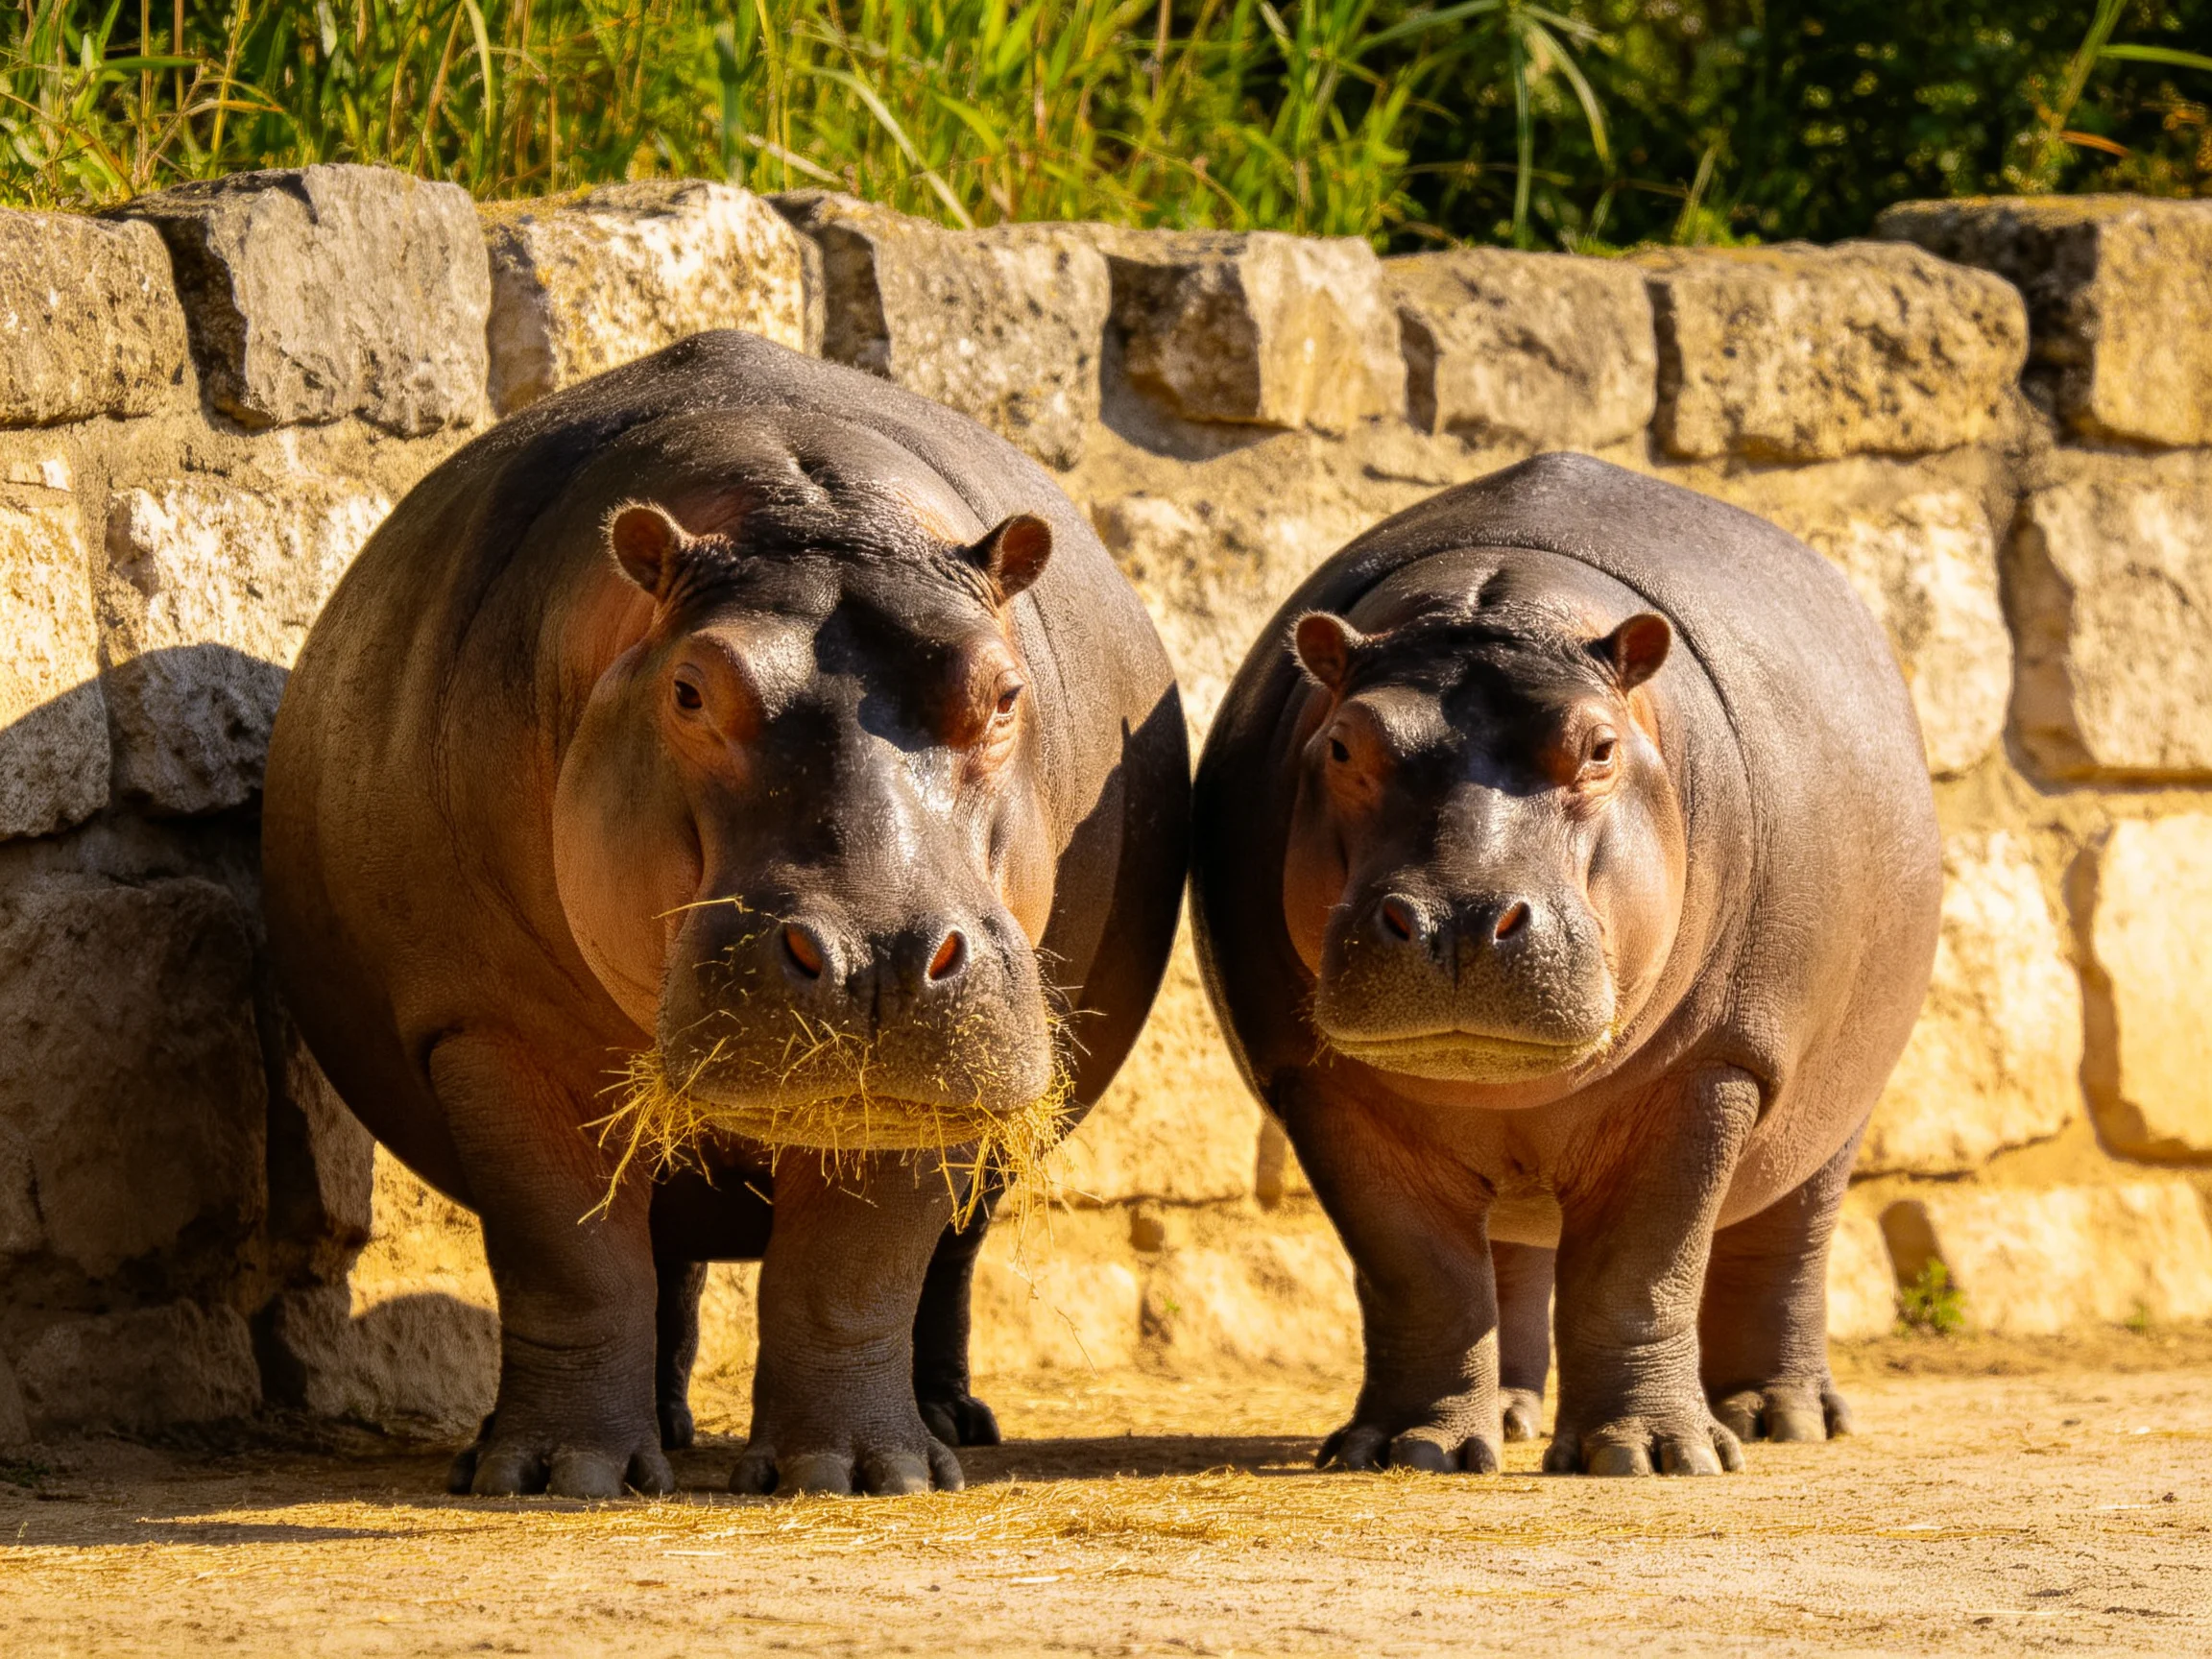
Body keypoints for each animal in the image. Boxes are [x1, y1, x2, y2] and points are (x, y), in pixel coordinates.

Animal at [264, 331, 1187, 1498]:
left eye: (1006, 691)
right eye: (692, 689)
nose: (877, 955)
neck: (811, 512)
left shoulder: (917, 1091)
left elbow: (855, 1272)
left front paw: (862, 1474)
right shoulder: (492, 1030)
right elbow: (567, 1258)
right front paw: (556, 1476)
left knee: (947, 1266)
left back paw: (951, 1425)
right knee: (660, 1257)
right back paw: (649, 1435)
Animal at [1192, 454, 1939, 1477]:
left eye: (1600, 746)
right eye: (1342, 743)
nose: (1459, 916)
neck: (1502, 607)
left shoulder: (1711, 1070)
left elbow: (1645, 1267)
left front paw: (1653, 1456)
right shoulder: (1319, 1084)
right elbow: (1417, 1272)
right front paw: (1403, 1449)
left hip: (1835, 1101)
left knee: (1789, 1240)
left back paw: (1781, 1417)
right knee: (1512, 1257)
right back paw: (1505, 1419)